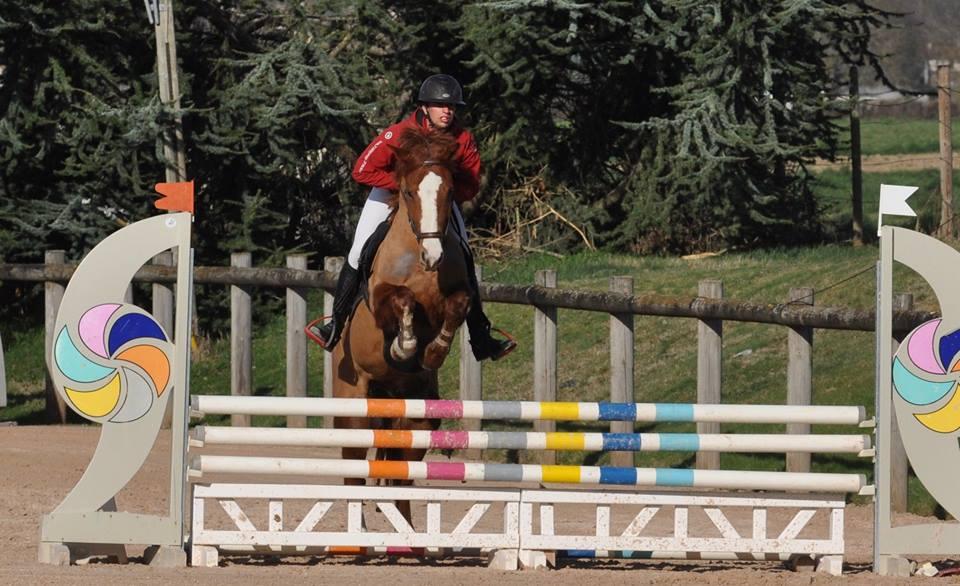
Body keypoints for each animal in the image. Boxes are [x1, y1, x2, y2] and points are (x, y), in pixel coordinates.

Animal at [331, 127, 472, 523]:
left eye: (449, 192)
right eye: (408, 192)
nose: (433, 256)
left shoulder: (455, 296)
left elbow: (457, 306)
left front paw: (434, 351)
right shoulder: (380, 301)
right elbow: (402, 300)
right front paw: (404, 345)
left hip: (417, 418)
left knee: (403, 477)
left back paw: (407, 531)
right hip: (354, 408)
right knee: (352, 471)